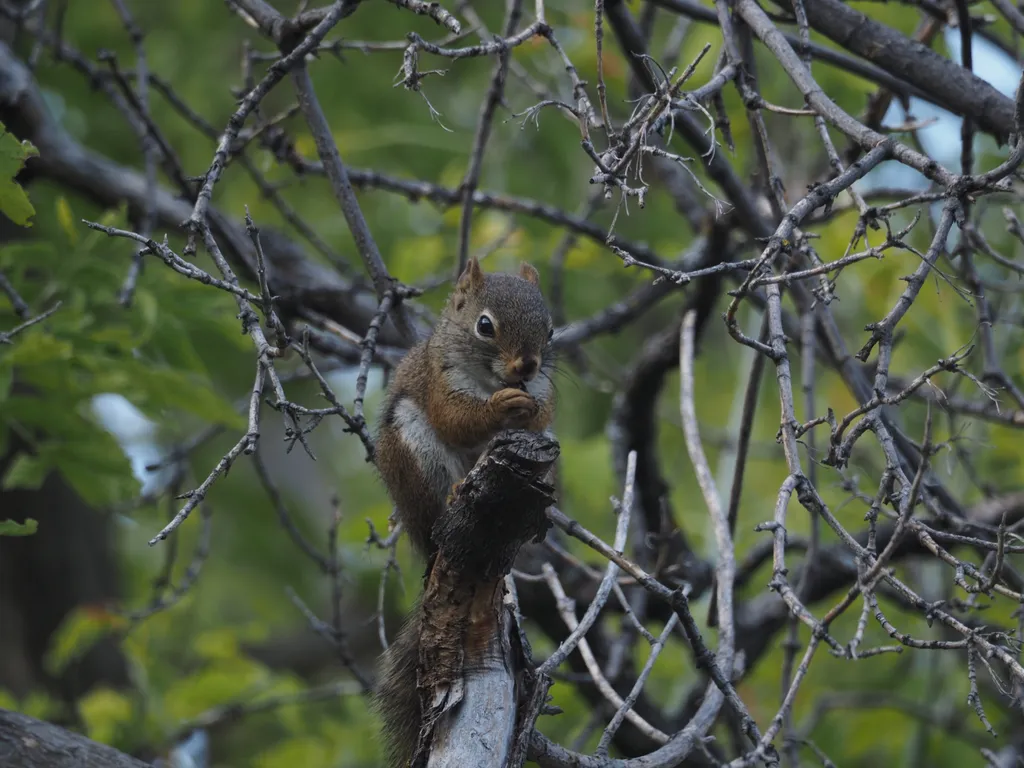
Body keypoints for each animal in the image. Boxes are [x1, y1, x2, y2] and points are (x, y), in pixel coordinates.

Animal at [372, 259, 557, 768]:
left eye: (550, 329)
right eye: (485, 326)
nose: (527, 365)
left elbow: (542, 413)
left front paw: (527, 406)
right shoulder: (440, 380)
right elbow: (455, 419)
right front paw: (501, 406)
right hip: (415, 454)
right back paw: (455, 493)